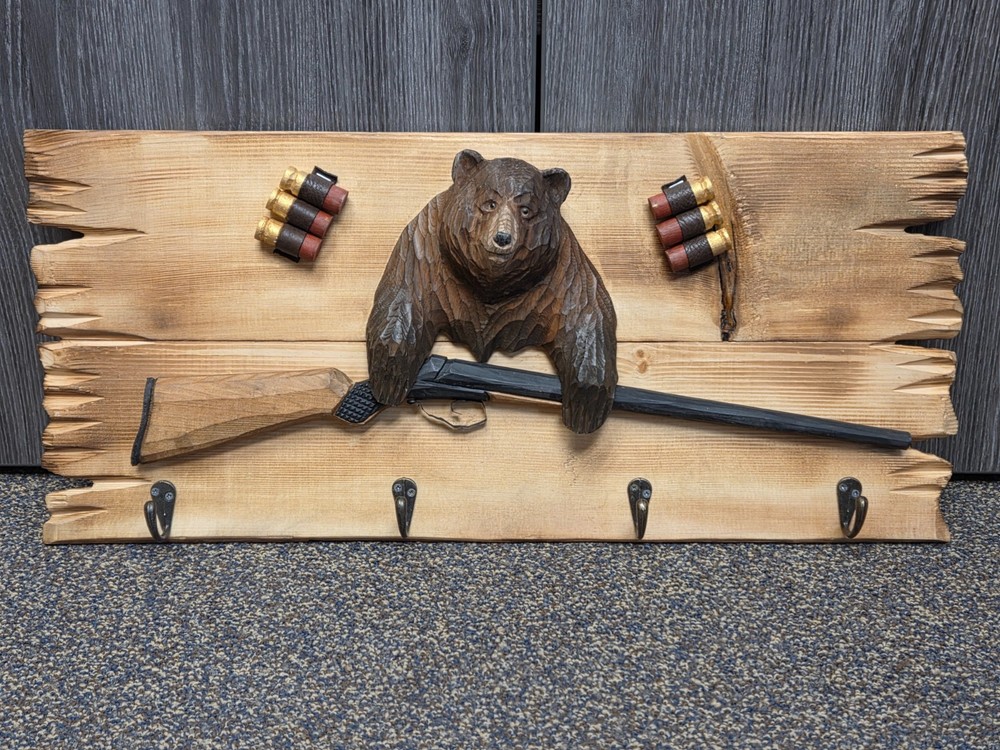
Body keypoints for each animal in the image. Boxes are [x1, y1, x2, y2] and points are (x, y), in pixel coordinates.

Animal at [366, 149, 618, 434]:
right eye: (490, 203)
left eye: (526, 210)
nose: (503, 238)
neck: (492, 283)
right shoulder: (423, 252)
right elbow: (402, 298)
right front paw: (390, 374)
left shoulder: (562, 276)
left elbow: (588, 314)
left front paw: (588, 398)